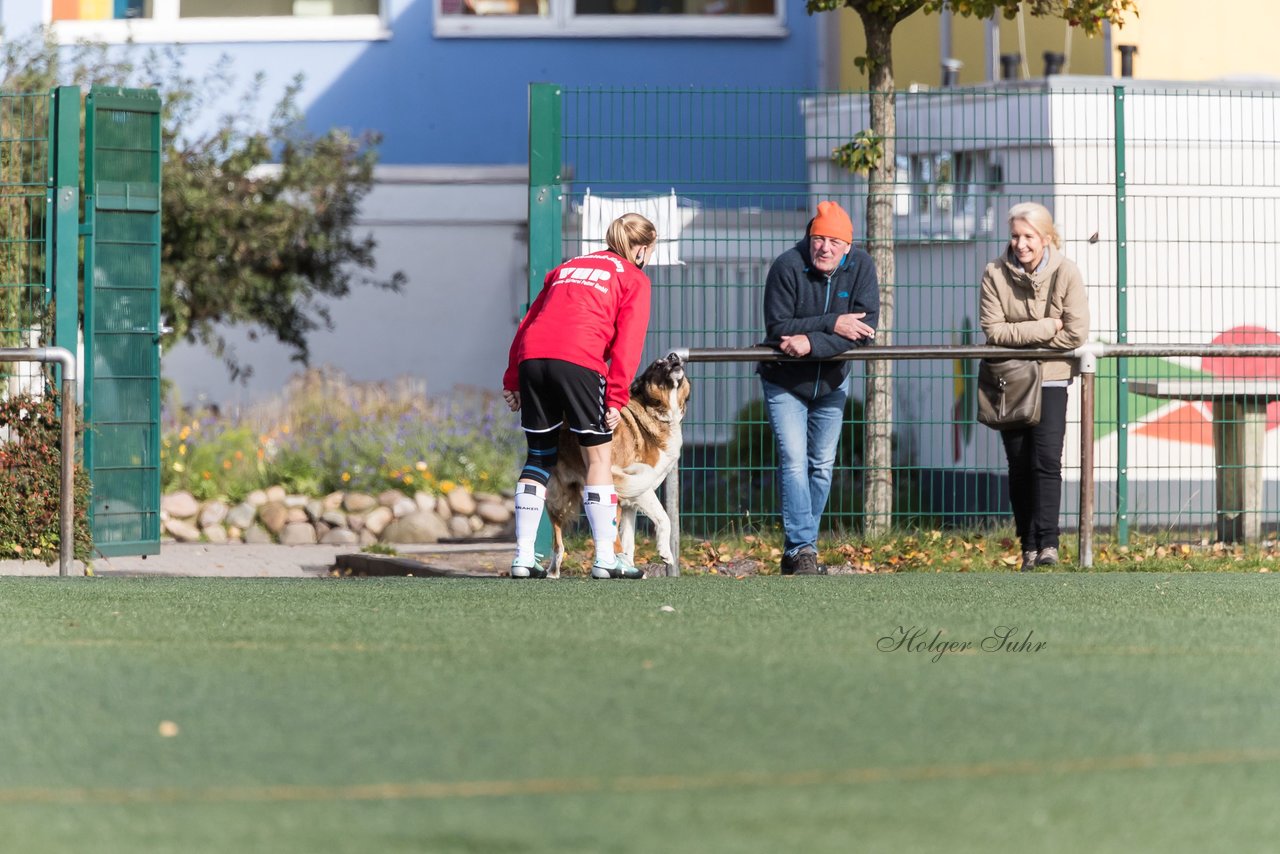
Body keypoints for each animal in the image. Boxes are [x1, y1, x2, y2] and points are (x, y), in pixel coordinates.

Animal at [545, 350, 696, 578]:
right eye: (657, 365)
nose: (673, 355)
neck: (656, 411)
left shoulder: (629, 504)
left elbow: (629, 541)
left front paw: (628, 564)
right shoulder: (639, 488)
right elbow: (664, 518)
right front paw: (665, 553)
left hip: (560, 498)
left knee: (558, 540)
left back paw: (554, 571)